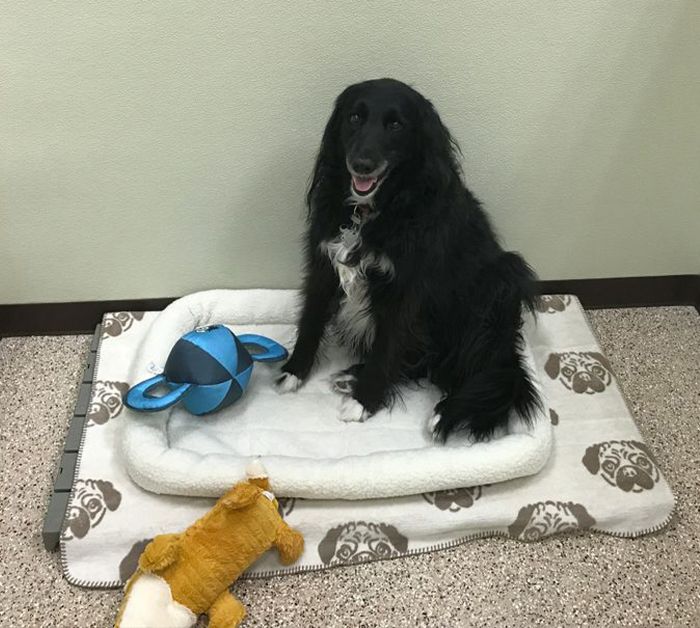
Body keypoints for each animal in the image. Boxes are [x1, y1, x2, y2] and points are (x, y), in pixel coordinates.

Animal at [276, 78, 540, 442]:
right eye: (354, 117)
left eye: (396, 124)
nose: (361, 164)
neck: (370, 212)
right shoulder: (324, 264)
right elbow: (311, 318)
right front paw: (294, 371)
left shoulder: (404, 290)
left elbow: (387, 345)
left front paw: (364, 401)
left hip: (499, 282)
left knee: (478, 371)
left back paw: (441, 410)